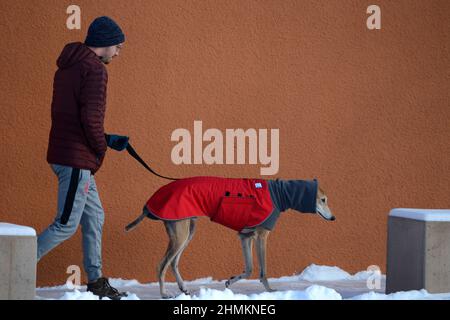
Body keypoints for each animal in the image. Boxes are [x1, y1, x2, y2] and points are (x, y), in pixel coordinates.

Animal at [125, 176, 336, 298]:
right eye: (323, 200)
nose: (333, 218)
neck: (278, 194)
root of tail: (149, 203)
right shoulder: (261, 236)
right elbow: (263, 270)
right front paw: (270, 291)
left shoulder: (245, 236)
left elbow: (249, 268)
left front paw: (230, 281)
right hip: (181, 233)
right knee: (161, 265)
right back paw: (163, 293)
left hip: (187, 231)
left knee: (173, 262)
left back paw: (183, 289)